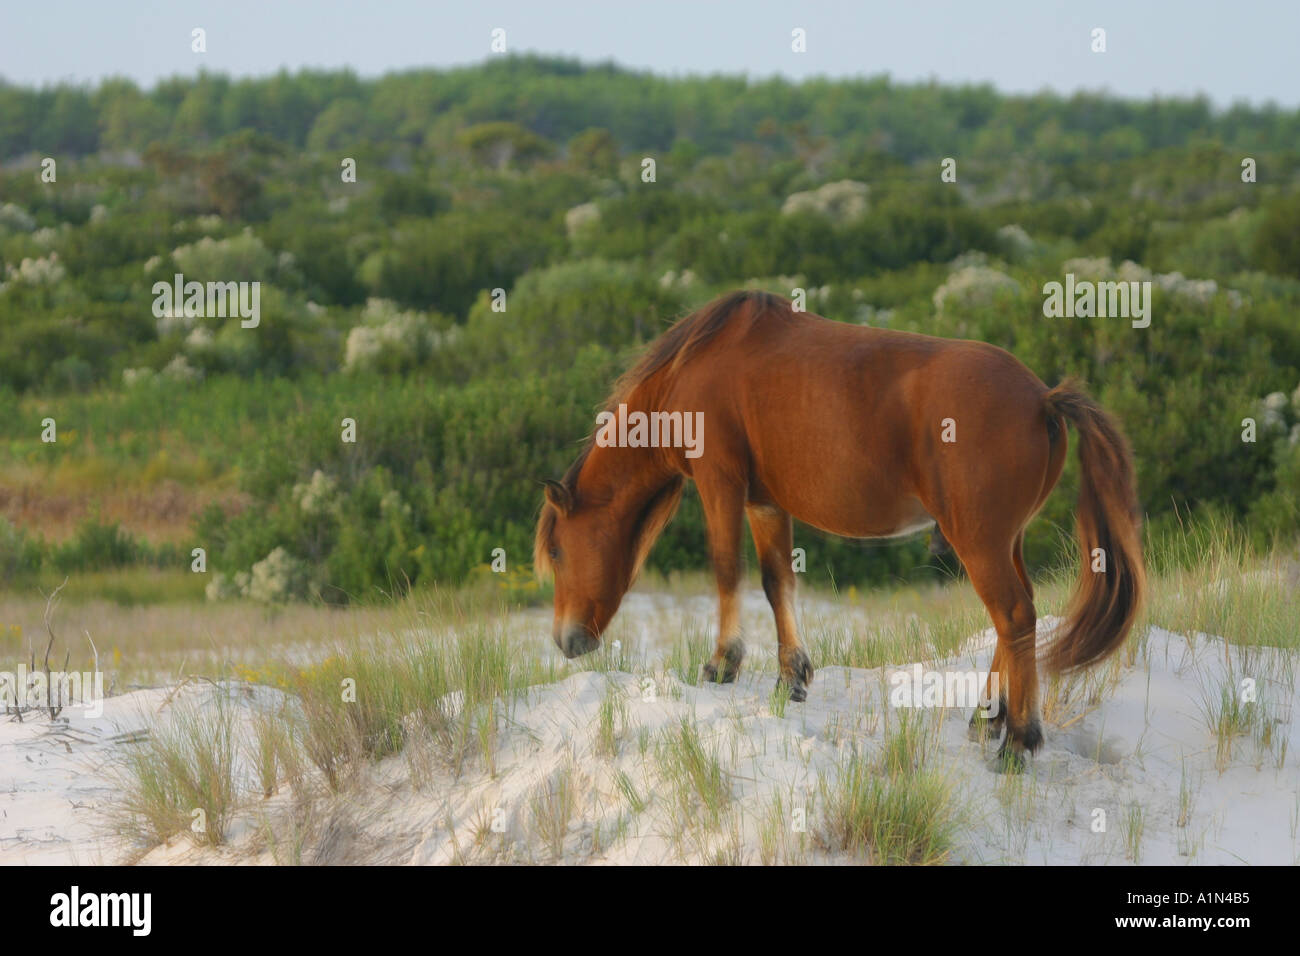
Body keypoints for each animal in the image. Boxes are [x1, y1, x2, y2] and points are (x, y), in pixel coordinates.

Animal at [533, 290, 1144, 764]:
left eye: (557, 552)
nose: (566, 641)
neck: (693, 369)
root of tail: (1043, 398)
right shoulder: (765, 503)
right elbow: (776, 582)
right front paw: (791, 676)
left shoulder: (719, 482)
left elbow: (728, 570)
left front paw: (723, 663)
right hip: (1001, 540)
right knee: (1014, 616)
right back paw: (987, 716)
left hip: (980, 543)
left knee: (1014, 614)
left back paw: (1019, 738)